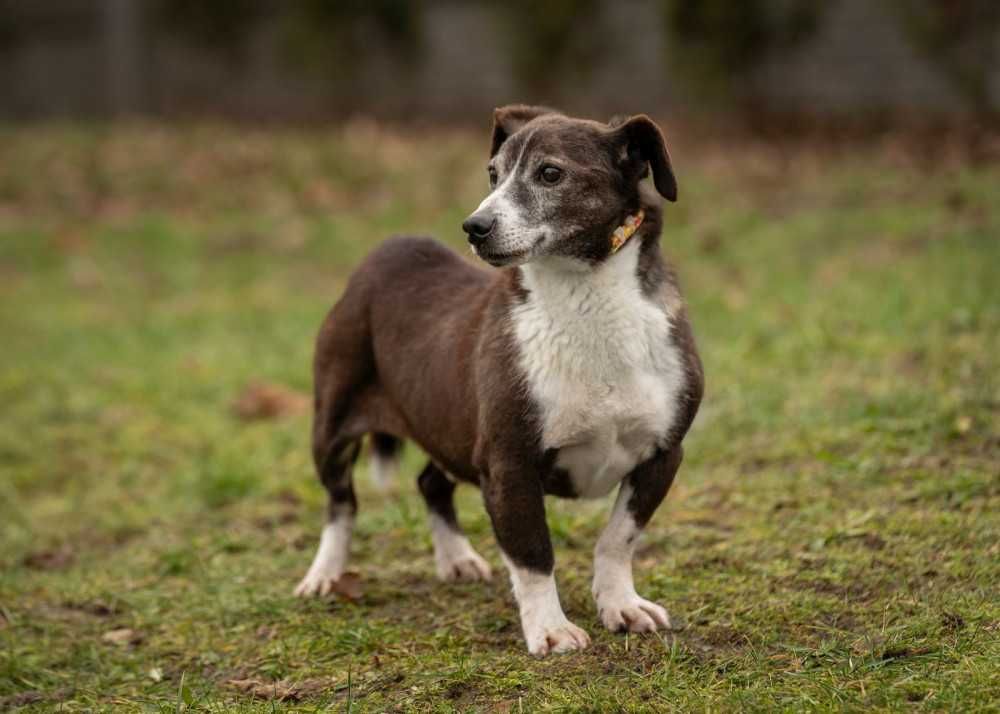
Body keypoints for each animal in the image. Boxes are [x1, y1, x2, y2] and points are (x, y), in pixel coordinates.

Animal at [296, 105, 704, 656]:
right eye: (493, 174)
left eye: (550, 174)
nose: (475, 226)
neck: (586, 295)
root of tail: (387, 250)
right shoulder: (509, 465)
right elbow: (533, 557)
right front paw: (551, 629)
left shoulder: (662, 454)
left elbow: (618, 539)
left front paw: (621, 605)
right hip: (333, 426)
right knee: (341, 503)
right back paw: (325, 574)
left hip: (446, 425)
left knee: (430, 482)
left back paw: (456, 559)